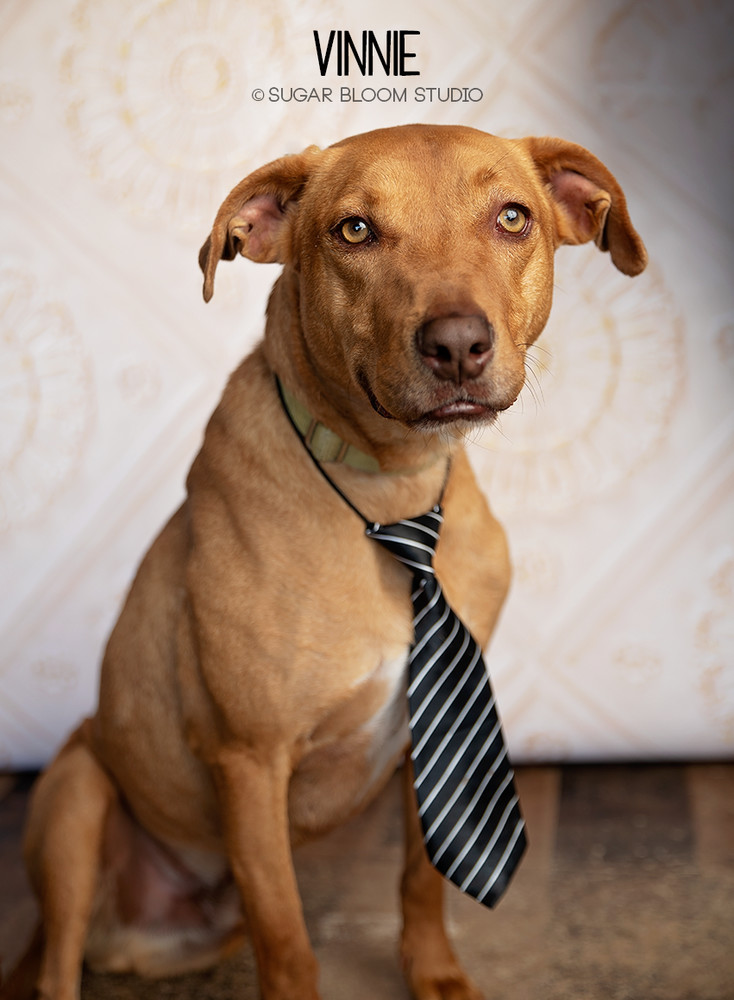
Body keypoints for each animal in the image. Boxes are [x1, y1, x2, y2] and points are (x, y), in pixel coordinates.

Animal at [0, 125, 648, 1000]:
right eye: (355, 231)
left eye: (512, 217)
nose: (457, 344)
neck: (390, 495)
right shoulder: (249, 760)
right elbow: (287, 937)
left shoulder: (434, 733)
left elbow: (420, 880)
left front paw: (436, 976)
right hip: (74, 795)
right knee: (59, 962)